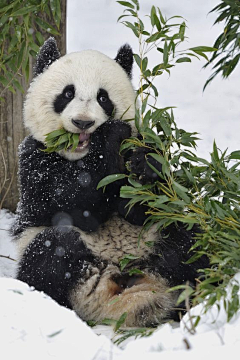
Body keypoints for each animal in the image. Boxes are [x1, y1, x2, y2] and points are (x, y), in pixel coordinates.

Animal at [13, 38, 208, 328]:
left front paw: (145, 163)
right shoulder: (35, 162)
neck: (80, 155)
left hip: (157, 239)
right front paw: (111, 135)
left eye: (103, 97)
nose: (83, 122)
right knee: (51, 251)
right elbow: (76, 204)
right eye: (67, 94)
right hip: (59, 258)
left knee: (189, 243)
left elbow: (140, 208)